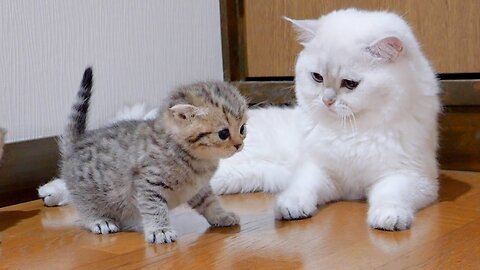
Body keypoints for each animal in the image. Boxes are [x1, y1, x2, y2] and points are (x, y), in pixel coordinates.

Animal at [61, 68, 248, 245]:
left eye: (242, 129)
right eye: (223, 133)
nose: (239, 145)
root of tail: (76, 143)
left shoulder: (198, 188)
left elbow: (209, 202)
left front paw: (221, 216)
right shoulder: (149, 183)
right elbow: (154, 208)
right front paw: (160, 230)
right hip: (89, 193)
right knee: (86, 209)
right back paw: (100, 221)